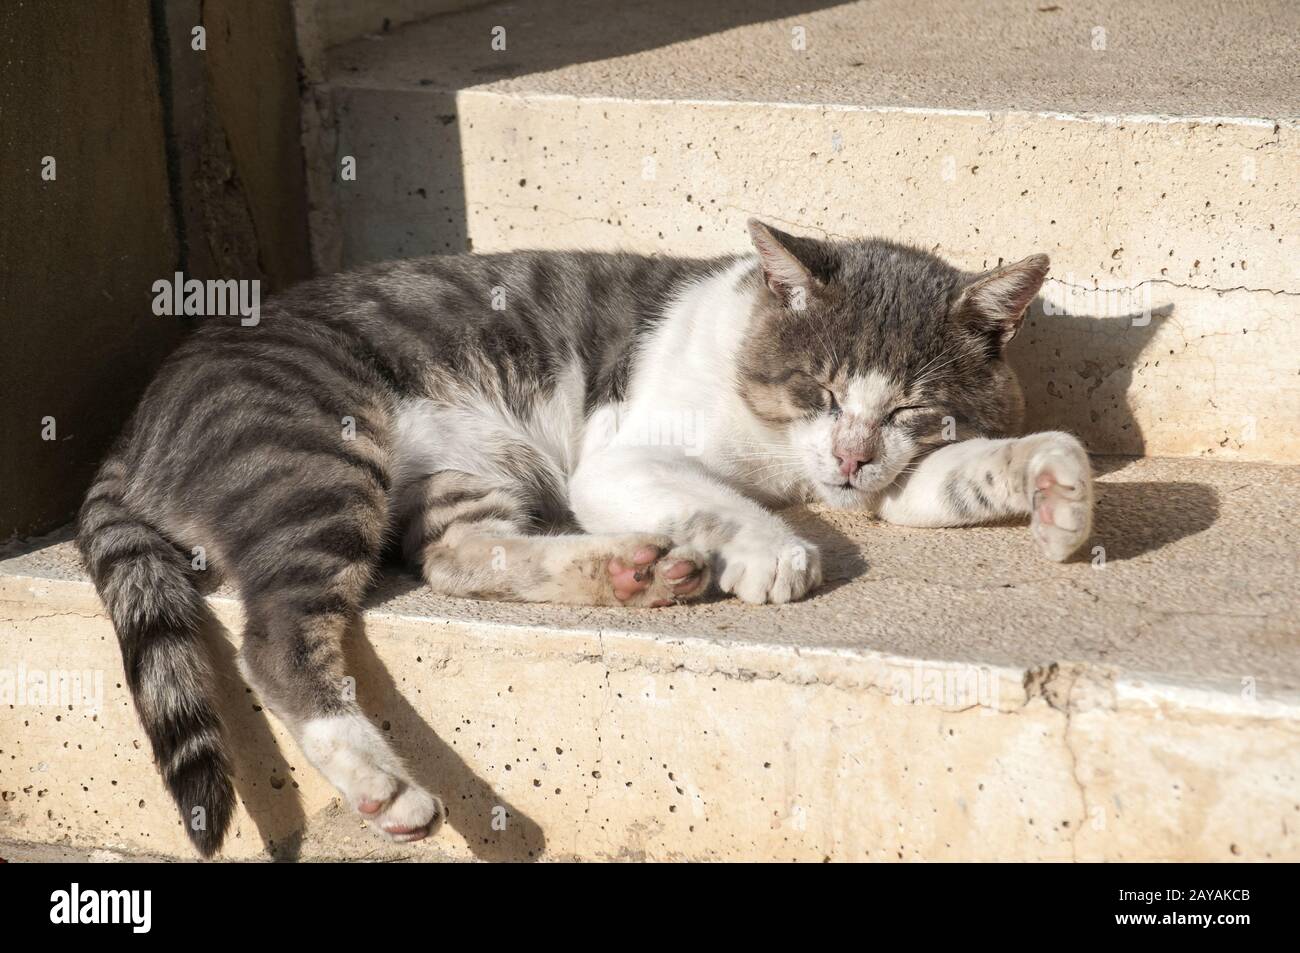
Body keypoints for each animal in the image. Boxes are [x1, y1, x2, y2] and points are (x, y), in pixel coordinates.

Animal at [78, 221, 1097, 852]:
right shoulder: (621, 455)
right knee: (278, 636)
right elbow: (714, 497)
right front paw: (775, 552)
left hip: (462, 469)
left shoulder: (893, 477)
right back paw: (383, 786)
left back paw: (631, 571)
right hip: (313, 457)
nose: (848, 458)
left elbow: (966, 472)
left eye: (910, 408)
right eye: (819, 388)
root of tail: (134, 428)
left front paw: (1057, 490)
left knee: (459, 556)